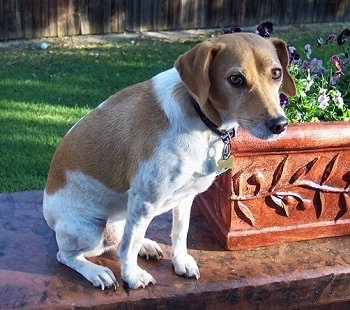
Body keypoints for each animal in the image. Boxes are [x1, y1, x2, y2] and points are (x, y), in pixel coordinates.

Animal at [43, 32, 296, 290]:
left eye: (276, 73)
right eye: (236, 79)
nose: (279, 124)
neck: (199, 116)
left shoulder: (185, 196)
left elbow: (179, 233)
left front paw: (180, 261)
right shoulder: (145, 200)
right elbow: (129, 247)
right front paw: (132, 276)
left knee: (120, 239)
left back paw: (146, 245)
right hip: (90, 229)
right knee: (68, 255)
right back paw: (96, 272)